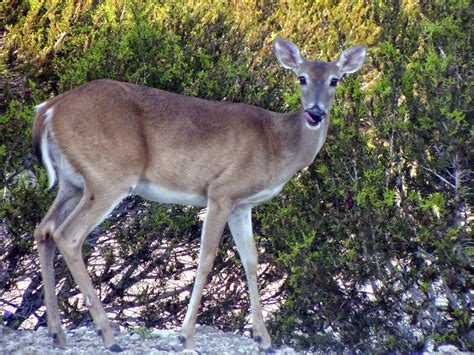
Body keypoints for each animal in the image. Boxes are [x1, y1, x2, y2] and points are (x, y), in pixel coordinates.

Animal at [32, 37, 366, 352]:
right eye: (301, 77)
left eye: (335, 80)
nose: (315, 113)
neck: (278, 144)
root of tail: (49, 109)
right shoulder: (221, 192)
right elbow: (206, 260)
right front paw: (186, 337)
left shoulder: (242, 205)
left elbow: (251, 261)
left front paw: (264, 340)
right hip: (109, 176)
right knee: (68, 235)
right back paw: (108, 336)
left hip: (72, 183)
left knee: (44, 229)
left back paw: (57, 334)